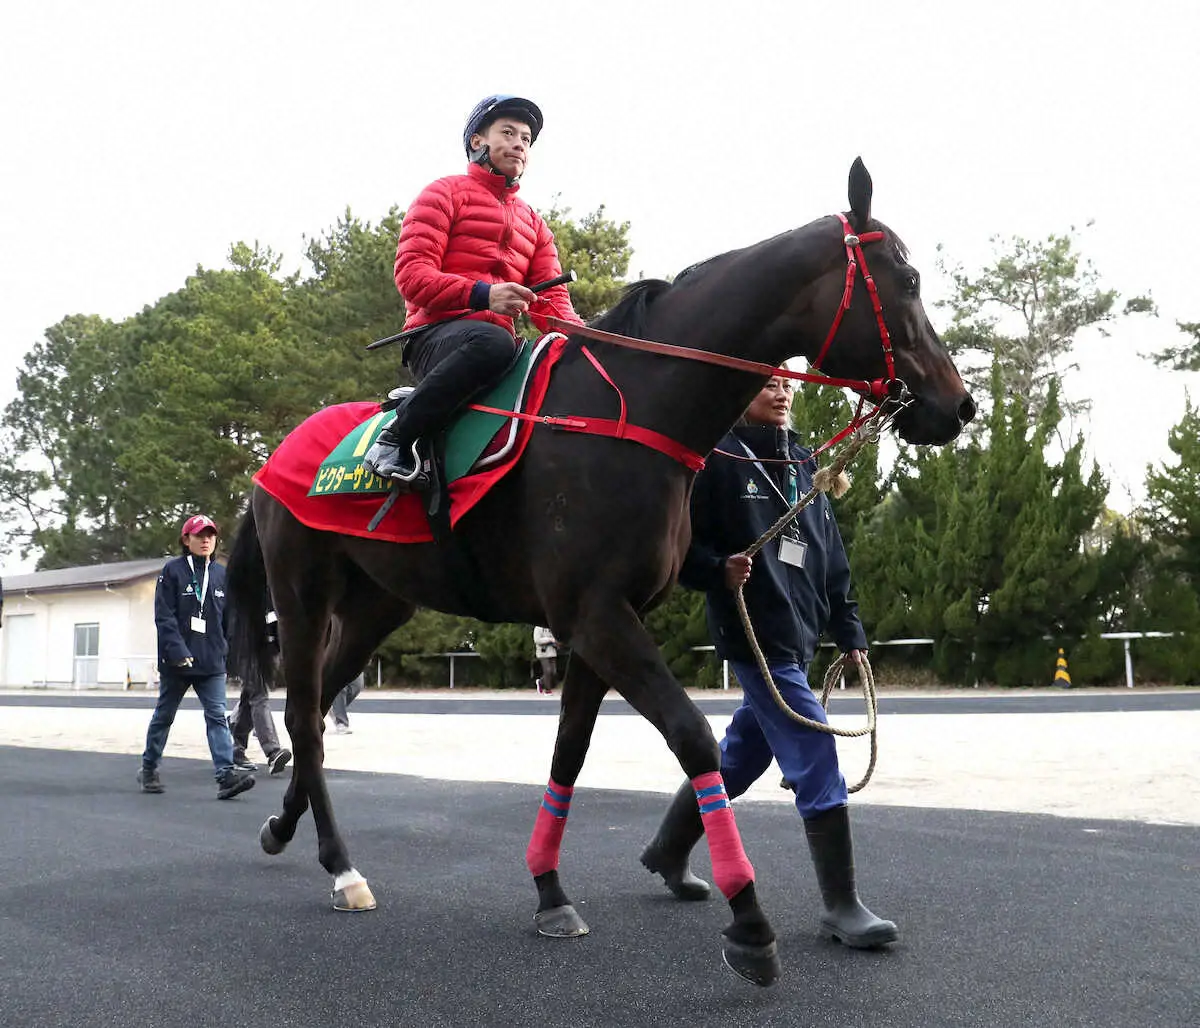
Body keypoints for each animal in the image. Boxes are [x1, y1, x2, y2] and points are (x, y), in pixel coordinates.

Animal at [223, 155, 974, 983]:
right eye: (907, 278)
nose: (957, 405)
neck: (635, 412)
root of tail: (271, 461)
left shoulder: (602, 621)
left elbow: (571, 753)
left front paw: (550, 891)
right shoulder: (597, 615)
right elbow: (693, 737)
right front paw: (749, 923)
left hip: (379, 603)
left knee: (322, 707)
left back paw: (283, 827)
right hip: (302, 592)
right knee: (301, 712)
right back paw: (339, 865)